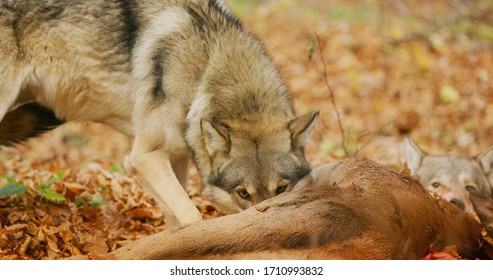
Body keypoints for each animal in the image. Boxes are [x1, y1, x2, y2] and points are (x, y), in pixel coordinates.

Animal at [0, 0, 320, 226]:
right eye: (243, 193)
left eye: (281, 188)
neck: (204, 67)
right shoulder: (144, 158)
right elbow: (192, 215)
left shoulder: (176, 159)